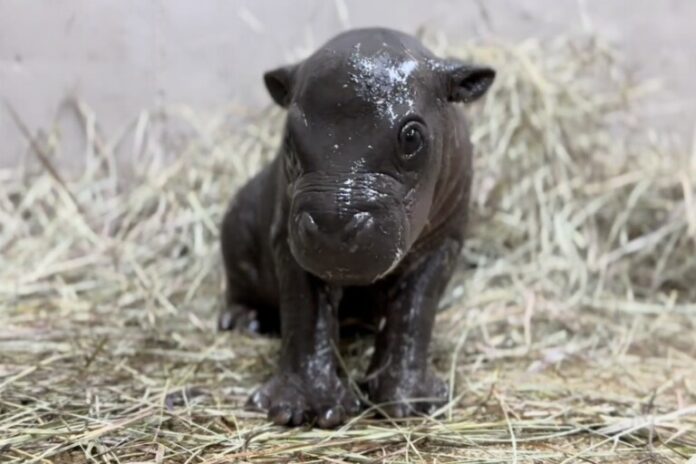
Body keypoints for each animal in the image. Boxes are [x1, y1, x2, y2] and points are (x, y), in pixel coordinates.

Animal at [219, 27, 495, 428]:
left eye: (412, 136)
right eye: (289, 136)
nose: (334, 225)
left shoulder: (443, 243)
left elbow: (414, 311)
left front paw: (409, 404)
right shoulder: (288, 242)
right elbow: (306, 316)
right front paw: (302, 411)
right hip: (237, 224)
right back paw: (245, 322)